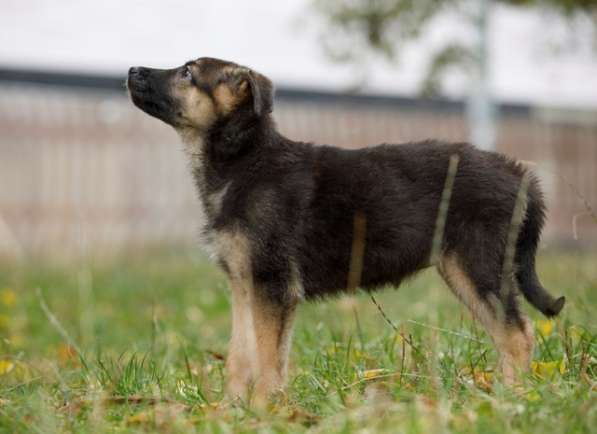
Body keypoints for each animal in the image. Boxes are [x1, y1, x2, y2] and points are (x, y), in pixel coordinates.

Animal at [125, 56, 564, 404]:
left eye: (187, 72)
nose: (131, 70)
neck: (244, 161)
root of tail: (521, 174)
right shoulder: (244, 283)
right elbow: (241, 353)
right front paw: (230, 409)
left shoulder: (273, 285)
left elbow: (268, 357)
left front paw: (265, 408)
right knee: (509, 334)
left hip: (476, 265)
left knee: (518, 334)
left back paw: (514, 399)